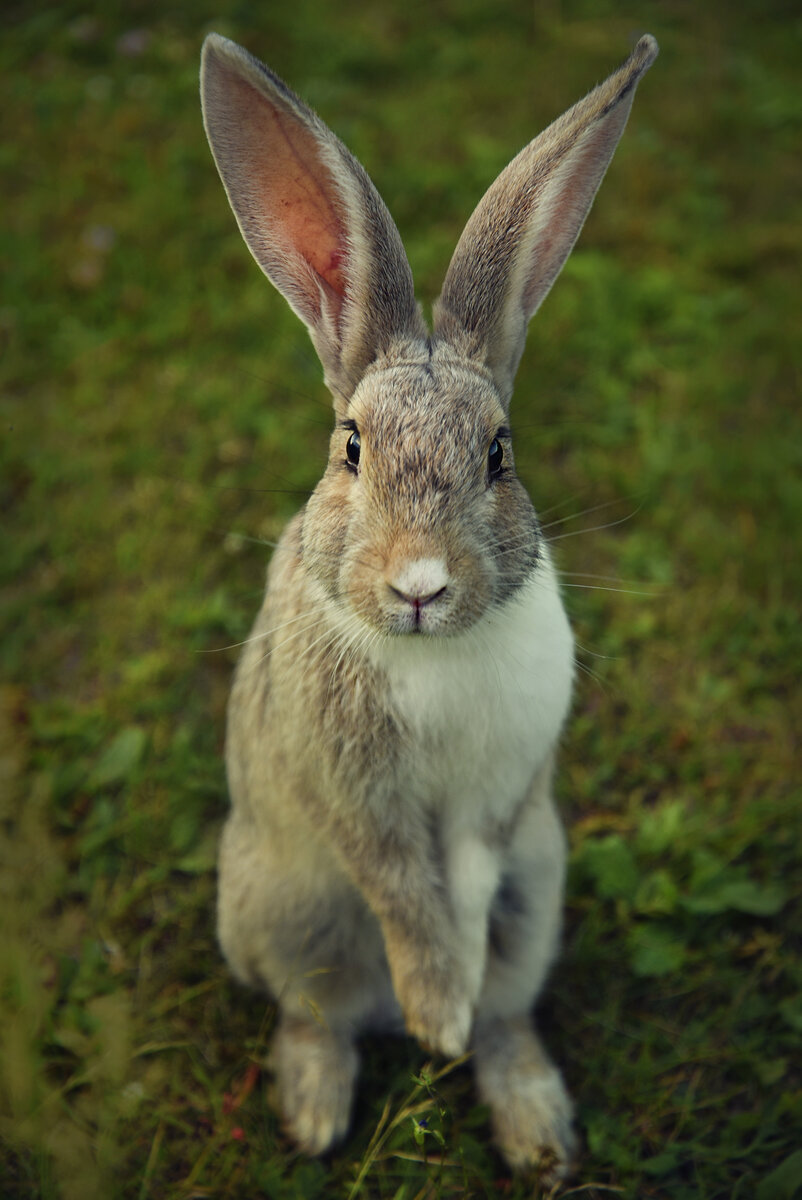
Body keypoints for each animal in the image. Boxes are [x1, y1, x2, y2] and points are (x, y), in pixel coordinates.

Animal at [200, 32, 657, 1176]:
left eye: (499, 456)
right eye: (350, 449)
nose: (418, 585)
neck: (430, 654)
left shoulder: (501, 801)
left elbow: (469, 878)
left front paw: (450, 1006)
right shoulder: (354, 792)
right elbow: (403, 887)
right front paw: (434, 1006)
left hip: (544, 888)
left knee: (511, 1006)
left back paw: (533, 1123)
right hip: (277, 907)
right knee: (314, 1011)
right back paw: (320, 1107)